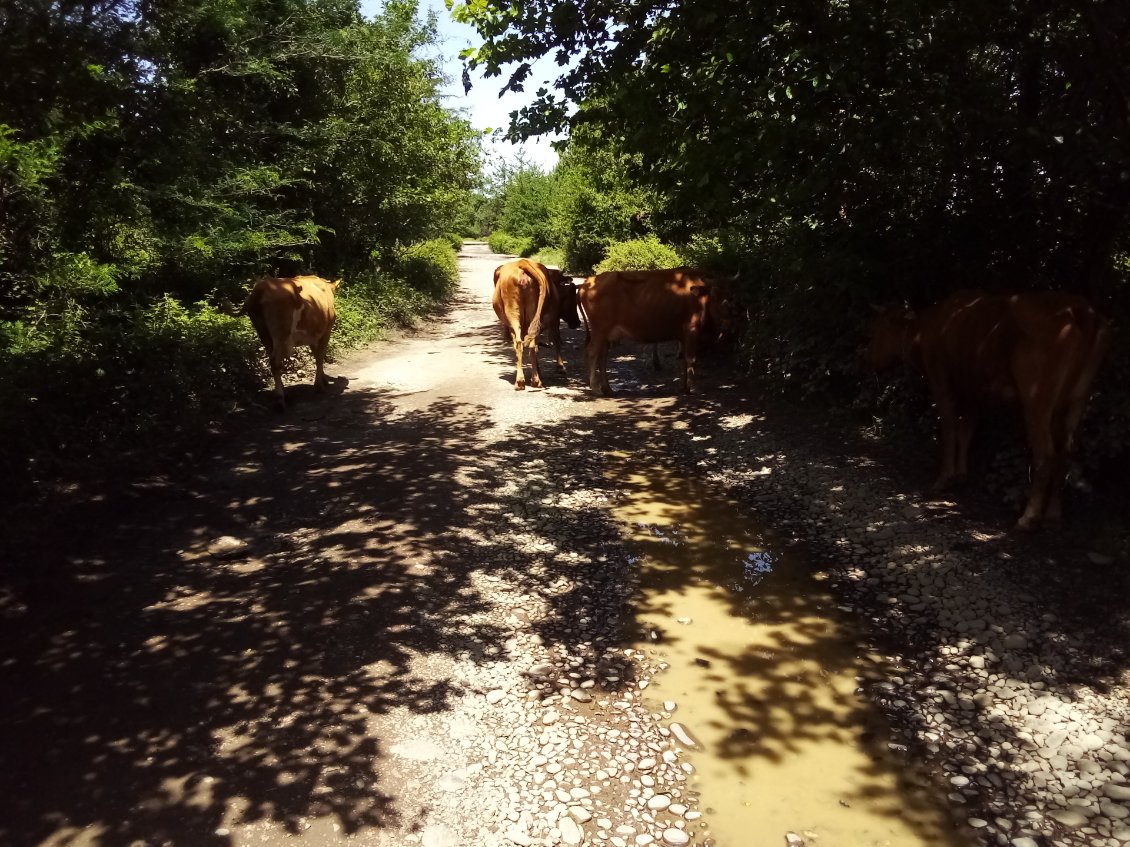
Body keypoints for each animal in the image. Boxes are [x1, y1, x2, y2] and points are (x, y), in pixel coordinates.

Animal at [241, 276, 339, 408]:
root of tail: (262, 287)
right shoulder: (326, 331)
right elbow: (320, 356)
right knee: (275, 361)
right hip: (281, 334)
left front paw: (323, 379)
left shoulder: (313, 336)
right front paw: (319, 386)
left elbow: (317, 355)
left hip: (264, 333)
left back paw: (283, 393)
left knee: (272, 359)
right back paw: (279, 399)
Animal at [494, 258, 583, 390]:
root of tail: (523, 263)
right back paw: (533, 380)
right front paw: (560, 367)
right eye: (573, 299)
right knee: (529, 343)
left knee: (521, 344)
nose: (577, 322)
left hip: (514, 315)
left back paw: (525, 381)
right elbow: (555, 340)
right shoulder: (553, 320)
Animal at [578, 266, 727, 397]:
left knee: (602, 357)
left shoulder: (683, 336)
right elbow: (692, 359)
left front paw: (684, 387)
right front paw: (693, 388)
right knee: (592, 353)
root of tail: (589, 281)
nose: (730, 315)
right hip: (599, 331)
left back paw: (607, 388)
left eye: (730, 295)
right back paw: (596, 389)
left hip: (606, 335)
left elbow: (684, 360)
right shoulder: (691, 330)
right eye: (714, 295)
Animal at [867, 291, 1107, 530]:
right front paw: (960, 474)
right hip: (1076, 399)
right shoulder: (970, 392)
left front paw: (944, 479)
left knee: (1045, 455)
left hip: (1036, 399)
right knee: (1065, 452)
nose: (868, 360)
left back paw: (1028, 517)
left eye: (878, 330)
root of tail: (1078, 309)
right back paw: (1053, 515)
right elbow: (966, 431)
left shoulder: (941, 382)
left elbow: (949, 431)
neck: (924, 330)